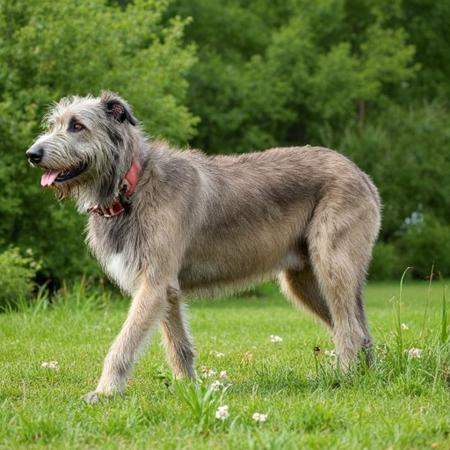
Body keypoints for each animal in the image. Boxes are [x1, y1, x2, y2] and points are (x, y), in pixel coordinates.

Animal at [26, 90, 380, 400]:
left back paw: (344, 378)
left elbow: (124, 343)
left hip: (332, 266)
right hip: (303, 281)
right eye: (53, 124)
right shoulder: (167, 289)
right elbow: (179, 346)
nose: (32, 154)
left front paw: (105, 392)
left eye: (77, 125)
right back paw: (362, 374)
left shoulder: (154, 283)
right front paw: (189, 389)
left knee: (349, 329)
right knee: (354, 329)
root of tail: (362, 175)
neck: (133, 186)